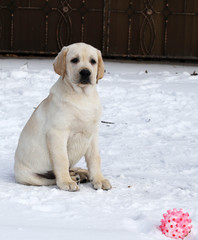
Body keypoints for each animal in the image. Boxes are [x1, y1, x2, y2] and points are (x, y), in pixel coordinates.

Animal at [14, 42, 111, 191]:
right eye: (74, 60)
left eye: (93, 61)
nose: (85, 72)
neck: (82, 96)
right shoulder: (57, 133)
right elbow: (62, 159)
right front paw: (66, 182)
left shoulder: (92, 133)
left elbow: (95, 158)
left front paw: (99, 179)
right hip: (31, 177)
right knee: (51, 177)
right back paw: (71, 178)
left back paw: (81, 174)